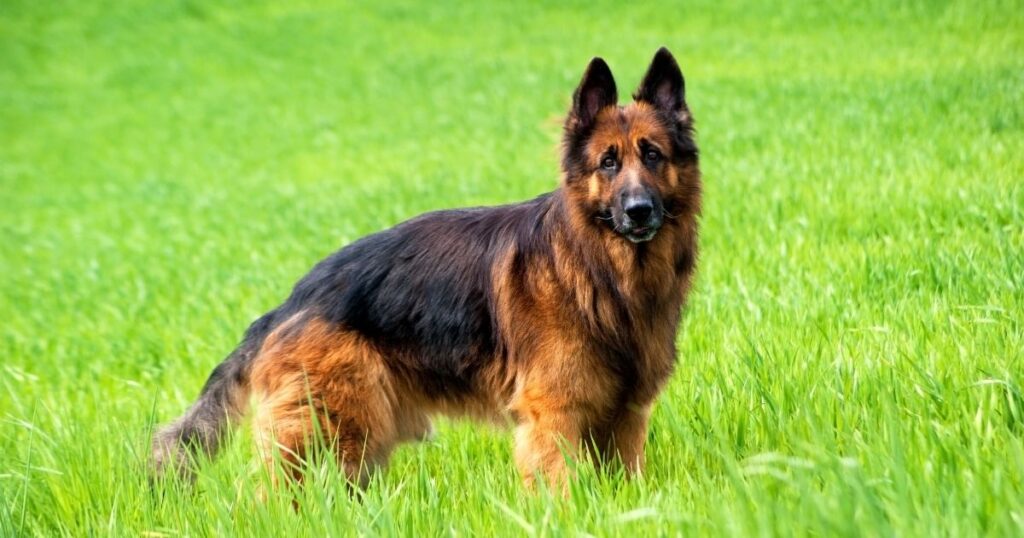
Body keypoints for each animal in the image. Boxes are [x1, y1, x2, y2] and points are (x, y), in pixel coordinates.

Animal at [151, 48, 700, 487]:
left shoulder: (625, 417)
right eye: (608, 162)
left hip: (359, 441)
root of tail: (290, 302)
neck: (599, 271)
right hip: (328, 428)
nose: (639, 211)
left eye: (653, 155)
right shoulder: (553, 416)